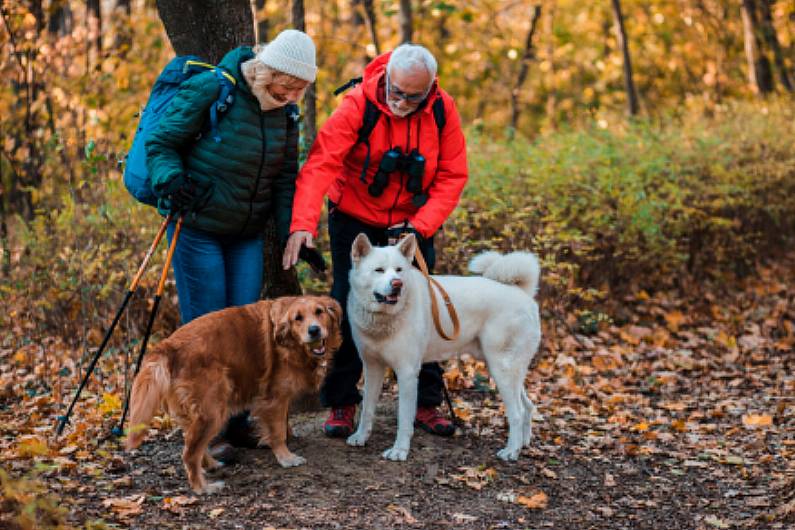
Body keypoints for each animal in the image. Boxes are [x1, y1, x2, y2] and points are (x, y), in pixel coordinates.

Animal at [124, 294, 342, 492]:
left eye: (319, 312)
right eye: (298, 318)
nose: (314, 330)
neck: (292, 344)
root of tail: (169, 345)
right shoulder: (275, 398)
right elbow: (278, 431)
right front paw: (286, 457)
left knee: (194, 445)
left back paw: (211, 465)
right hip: (213, 410)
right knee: (189, 453)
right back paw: (203, 488)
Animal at [346, 231, 540, 458]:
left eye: (399, 270)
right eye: (379, 270)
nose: (397, 284)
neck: (384, 319)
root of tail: (522, 293)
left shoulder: (407, 373)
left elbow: (404, 418)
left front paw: (399, 450)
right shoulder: (372, 367)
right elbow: (367, 408)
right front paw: (360, 437)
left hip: (502, 369)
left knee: (517, 412)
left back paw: (510, 452)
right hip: (505, 369)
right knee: (528, 406)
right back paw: (522, 444)